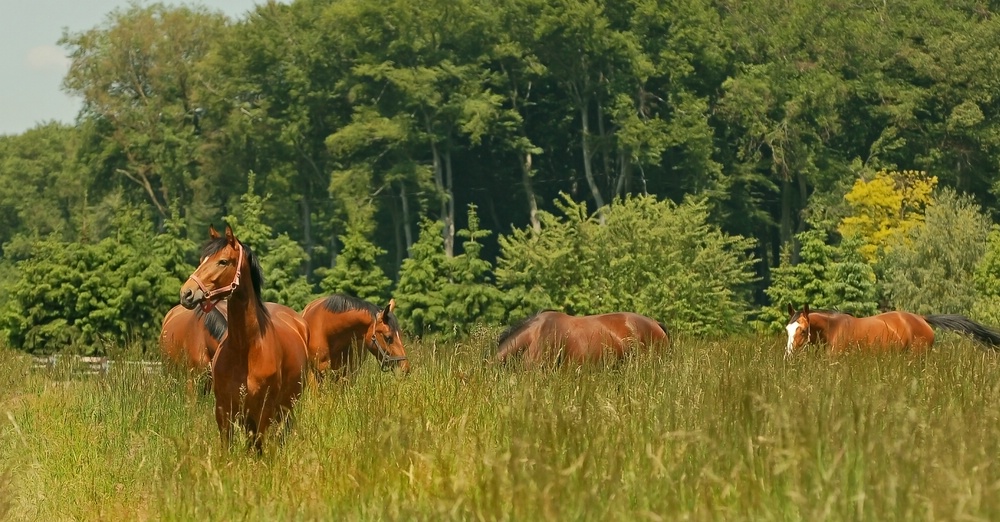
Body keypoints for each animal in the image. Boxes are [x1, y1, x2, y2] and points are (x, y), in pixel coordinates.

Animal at [178, 225, 306, 448]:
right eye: (202, 259)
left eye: (223, 261)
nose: (187, 293)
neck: (245, 349)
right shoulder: (224, 411)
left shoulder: (263, 413)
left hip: (285, 410)